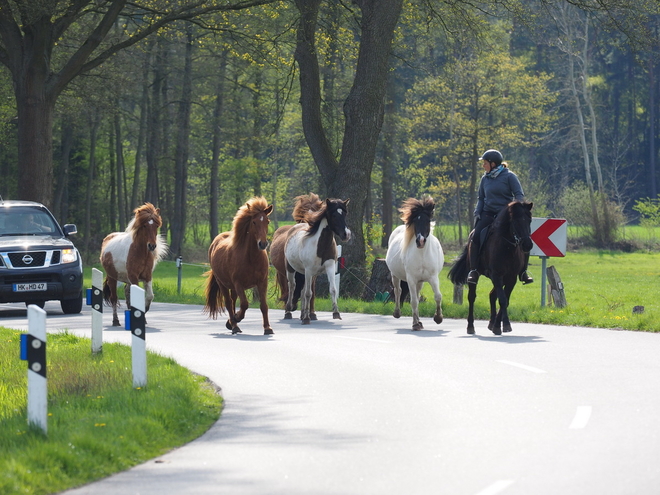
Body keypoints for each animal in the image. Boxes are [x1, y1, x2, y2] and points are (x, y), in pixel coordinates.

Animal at [202, 196, 272, 336]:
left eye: (267, 221)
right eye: (254, 222)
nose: (262, 244)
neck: (251, 259)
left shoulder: (262, 282)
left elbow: (263, 305)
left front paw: (267, 328)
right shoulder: (238, 283)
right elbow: (244, 304)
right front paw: (237, 318)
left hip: (232, 287)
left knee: (233, 300)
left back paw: (231, 323)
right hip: (223, 283)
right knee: (229, 303)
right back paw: (234, 325)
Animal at [270, 192, 324, 320]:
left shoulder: (312, 275)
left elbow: (311, 292)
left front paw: (311, 313)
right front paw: (290, 310)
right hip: (282, 273)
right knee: (287, 288)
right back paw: (288, 311)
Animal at [286, 198, 354, 326]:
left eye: (345, 214)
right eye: (333, 215)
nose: (346, 235)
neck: (320, 246)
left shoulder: (330, 267)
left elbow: (332, 289)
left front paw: (336, 314)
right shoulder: (308, 270)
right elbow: (308, 293)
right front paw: (307, 319)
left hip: (309, 275)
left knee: (302, 291)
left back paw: (303, 314)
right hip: (291, 269)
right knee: (292, 286)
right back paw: (288, 312)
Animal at [386, 196, 444, 332]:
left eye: (428, 220)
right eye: (415, 222)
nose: (420, 241)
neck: (422, 255)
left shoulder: (433, 278)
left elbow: (438, 296)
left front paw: (438, 318)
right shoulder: (411, 279)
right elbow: (413, 302)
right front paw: (415, 324)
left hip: (420, 281)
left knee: (416, 296)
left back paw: (420, 321)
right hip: (395, 276)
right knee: (398, 291)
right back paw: (399, 314)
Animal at [446, 202, 532, 338]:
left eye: (529, 220)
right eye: (516, 221)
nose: (528, 245)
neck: (507, 247)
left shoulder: (511, 278)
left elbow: (505, 300)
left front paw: (500, 325)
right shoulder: (497, 275)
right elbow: (503, 300)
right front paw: (498, 326)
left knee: (492, 295)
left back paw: (496, 324)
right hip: (479, 276)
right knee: (472, 297)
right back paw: (471, 327)